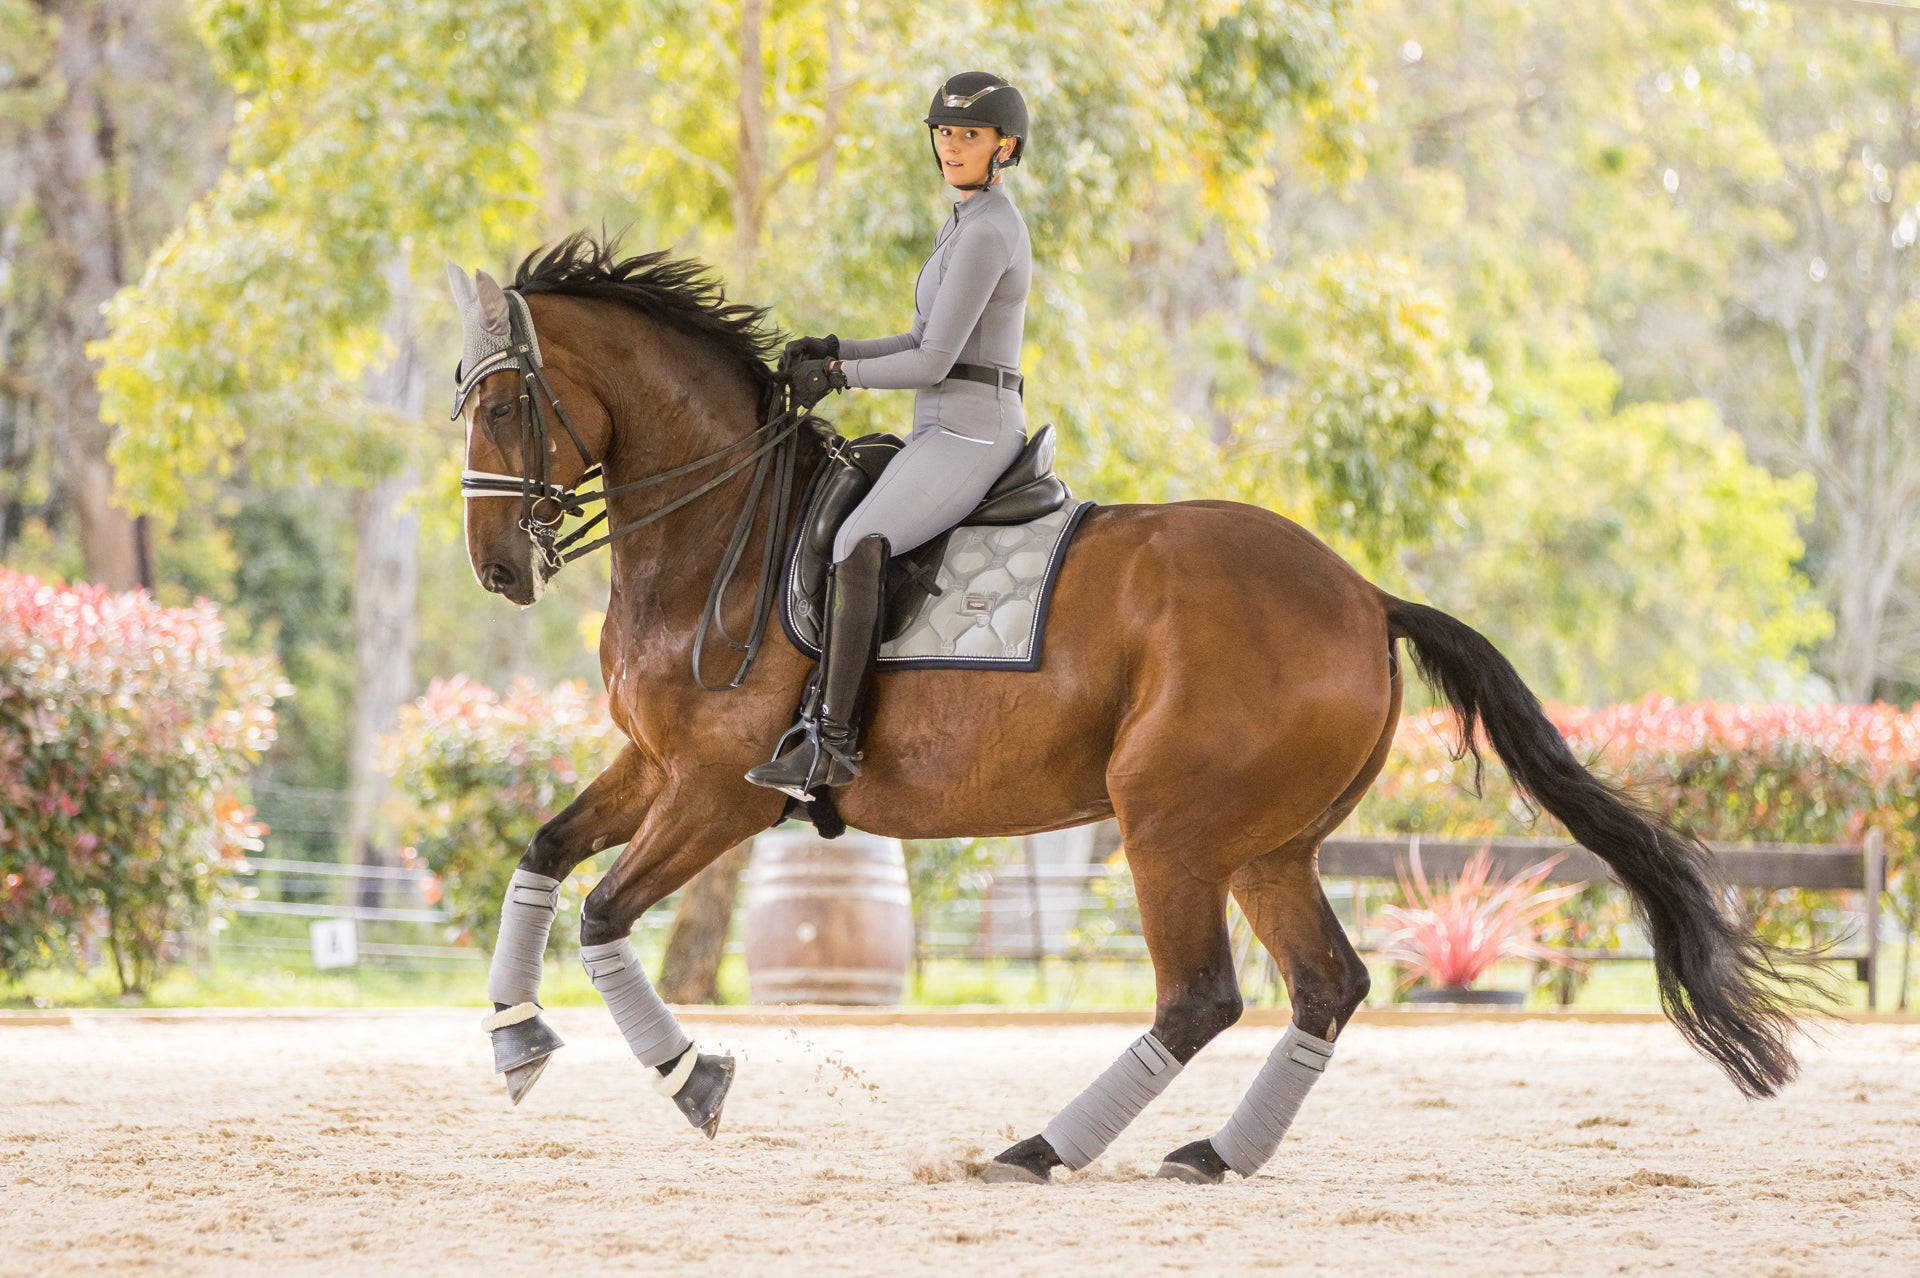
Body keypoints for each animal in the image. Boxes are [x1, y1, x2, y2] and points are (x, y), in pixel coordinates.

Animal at [448, 233, 1805, 1185]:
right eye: (464, 396)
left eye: (507, 404)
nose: (498, 571)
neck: (721, 525)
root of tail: (1363, 594)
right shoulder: (653, 764)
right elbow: (544, 856)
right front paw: (515, 1042)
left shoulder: (724, 792)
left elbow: (605, 914)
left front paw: (693, 1075)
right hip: (1265, 844)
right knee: (1327, 984)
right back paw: (1214, 1156)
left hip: (1168, 824)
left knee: (1201, 996)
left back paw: (1039, 1150)